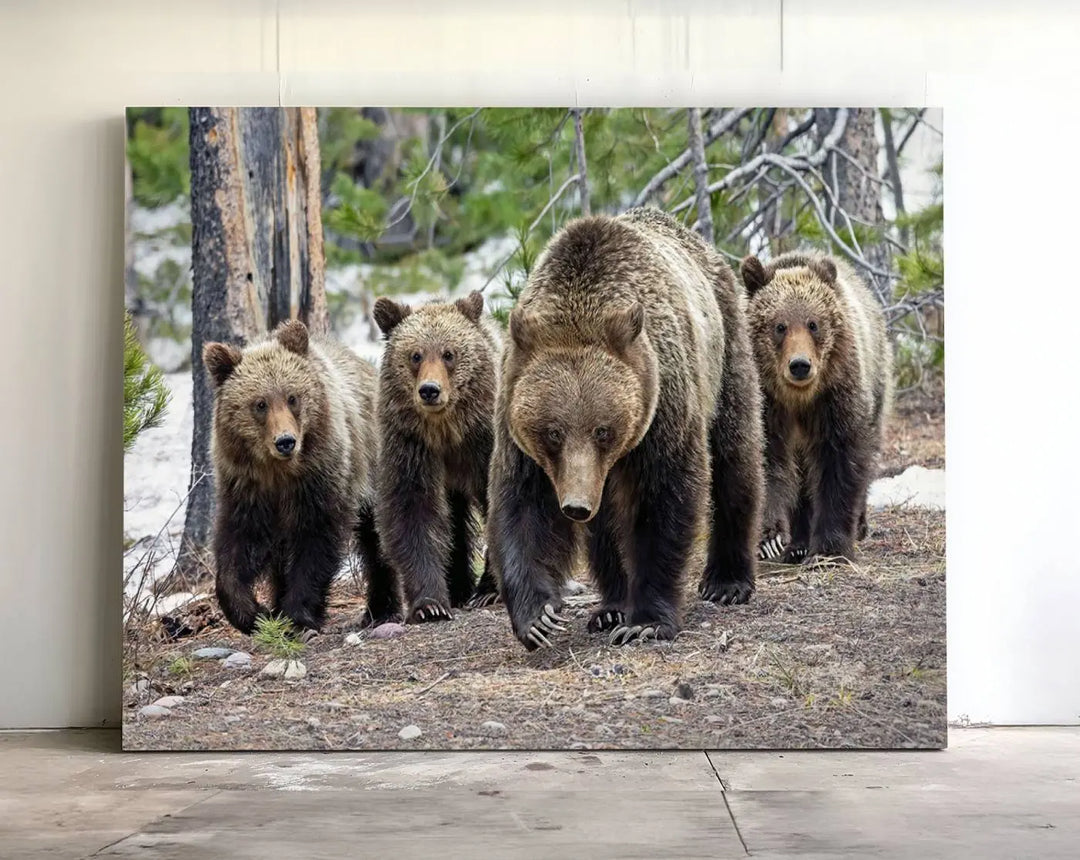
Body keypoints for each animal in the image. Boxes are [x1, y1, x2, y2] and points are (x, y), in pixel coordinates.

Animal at [201, 319, 397, 635]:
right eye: (260, 403)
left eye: (292, 397)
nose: (285, 441)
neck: (280, 472)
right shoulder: (246, 486)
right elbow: (238, 545)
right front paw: (255, 613)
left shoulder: (320, 476)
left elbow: (316, 540)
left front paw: (297, 615)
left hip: (373, 462)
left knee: (376, 536)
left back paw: (381, 608)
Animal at [371, 291, 501, 622]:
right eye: (415, 355)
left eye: (448, 353)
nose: (430, 390)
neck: (447, 431)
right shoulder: (411, 447)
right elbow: (413, 513)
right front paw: (430, 604)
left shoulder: (483, 443)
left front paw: (490, 589)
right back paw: (457, 588)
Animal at [486, 209, 764, 652]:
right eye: (553, 432)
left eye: (602, 429)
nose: (575, 505)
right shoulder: (517, 422)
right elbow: (522, 506)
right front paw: (538, 617)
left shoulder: (663, 403)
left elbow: (663, 500)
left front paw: (646, 621)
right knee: (604, 526)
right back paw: (611, 605)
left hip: (725, 353)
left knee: (735, 457)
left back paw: (727, 581)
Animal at [743, 251, 894, 566]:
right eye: (779, 326)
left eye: (813, 323)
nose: (800, 365)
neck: (799, 399)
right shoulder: (767, 405)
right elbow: (768, 461)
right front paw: (770, 539)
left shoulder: (835, 397)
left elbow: (839, 461)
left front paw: (830, 548)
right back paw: (798, 544)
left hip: (877, 382)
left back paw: (859, 525)